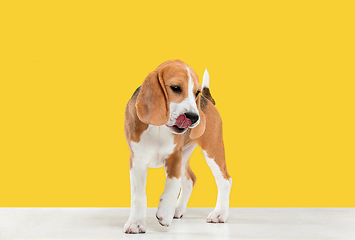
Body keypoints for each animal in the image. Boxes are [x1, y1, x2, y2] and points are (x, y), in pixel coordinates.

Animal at [124, 60, 232, 234]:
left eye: (196, 92)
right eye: (175, 88)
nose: (194, 117)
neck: (160, 127)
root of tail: (207, 100)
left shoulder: (174, 156)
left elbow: (172, 185)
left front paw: (164, 213)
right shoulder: (137, 160)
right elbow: (138, 194)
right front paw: (135, 223)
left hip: (212, 150)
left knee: (225, 180)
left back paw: (219, 214)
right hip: (187, 154)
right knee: (190, 180)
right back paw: (178, 210)